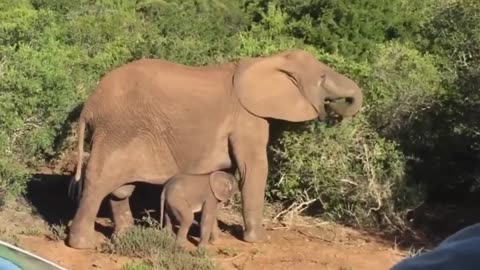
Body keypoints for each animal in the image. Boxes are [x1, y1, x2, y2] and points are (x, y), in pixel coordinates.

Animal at [66, 49, 360, 249]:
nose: (335, 113)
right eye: (322, 77)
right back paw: (85, 244)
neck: (268, 60)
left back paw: (126, 236)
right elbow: (253, 168)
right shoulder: (248, 117)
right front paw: (258, 240)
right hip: (118, 129)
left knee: (120, 188)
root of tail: (89, 105)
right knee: (101, 180)